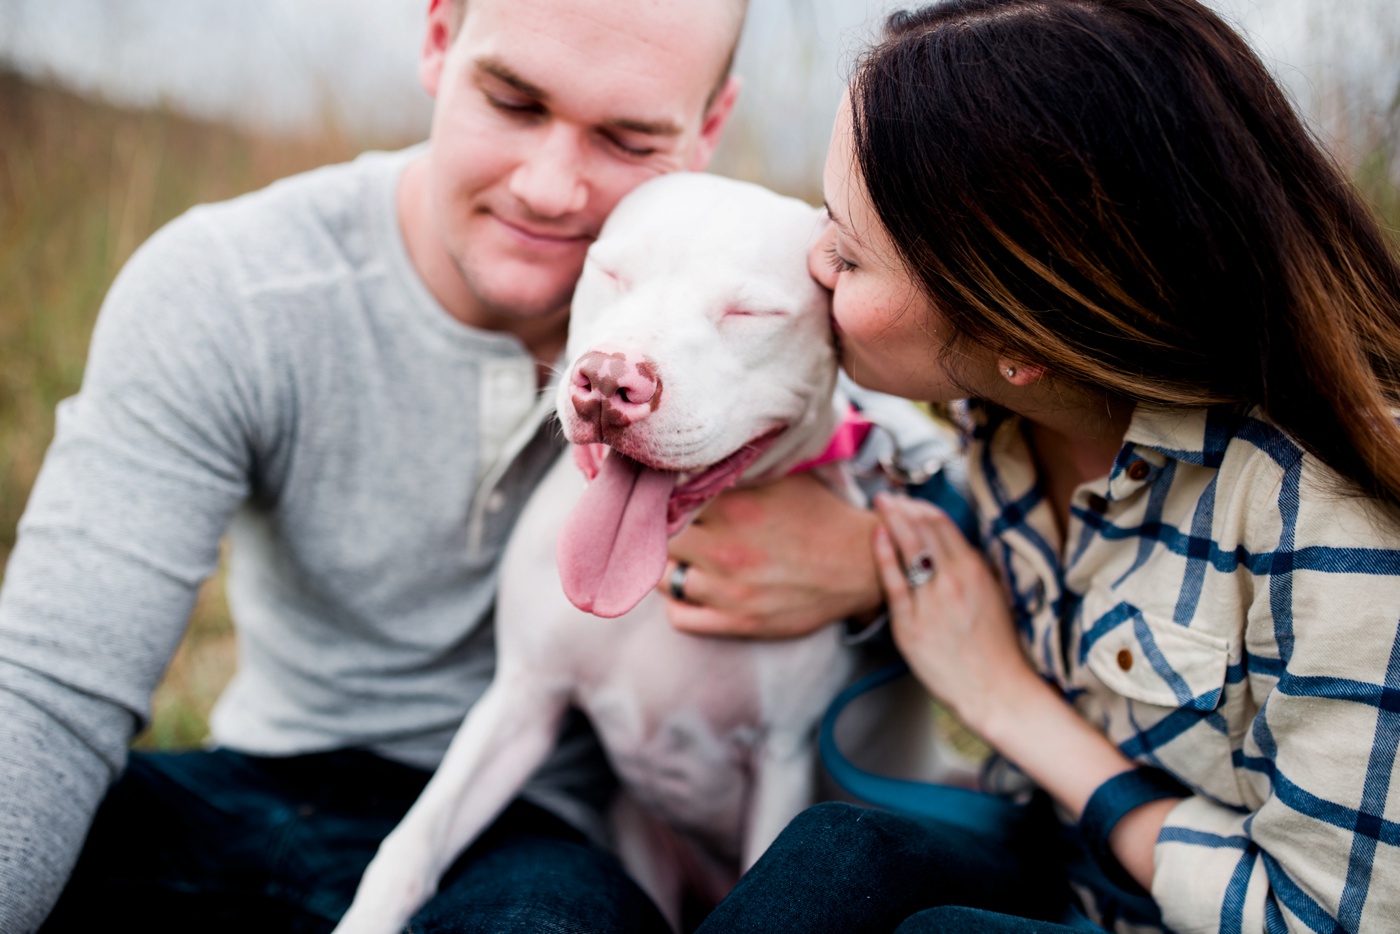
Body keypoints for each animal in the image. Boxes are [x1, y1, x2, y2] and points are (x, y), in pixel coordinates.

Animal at [333, 175, 868, 934]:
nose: (612, 382)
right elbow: (415, 841)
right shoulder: (522, 699)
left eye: (750, 312)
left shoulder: (783, 757)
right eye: (612, 272)